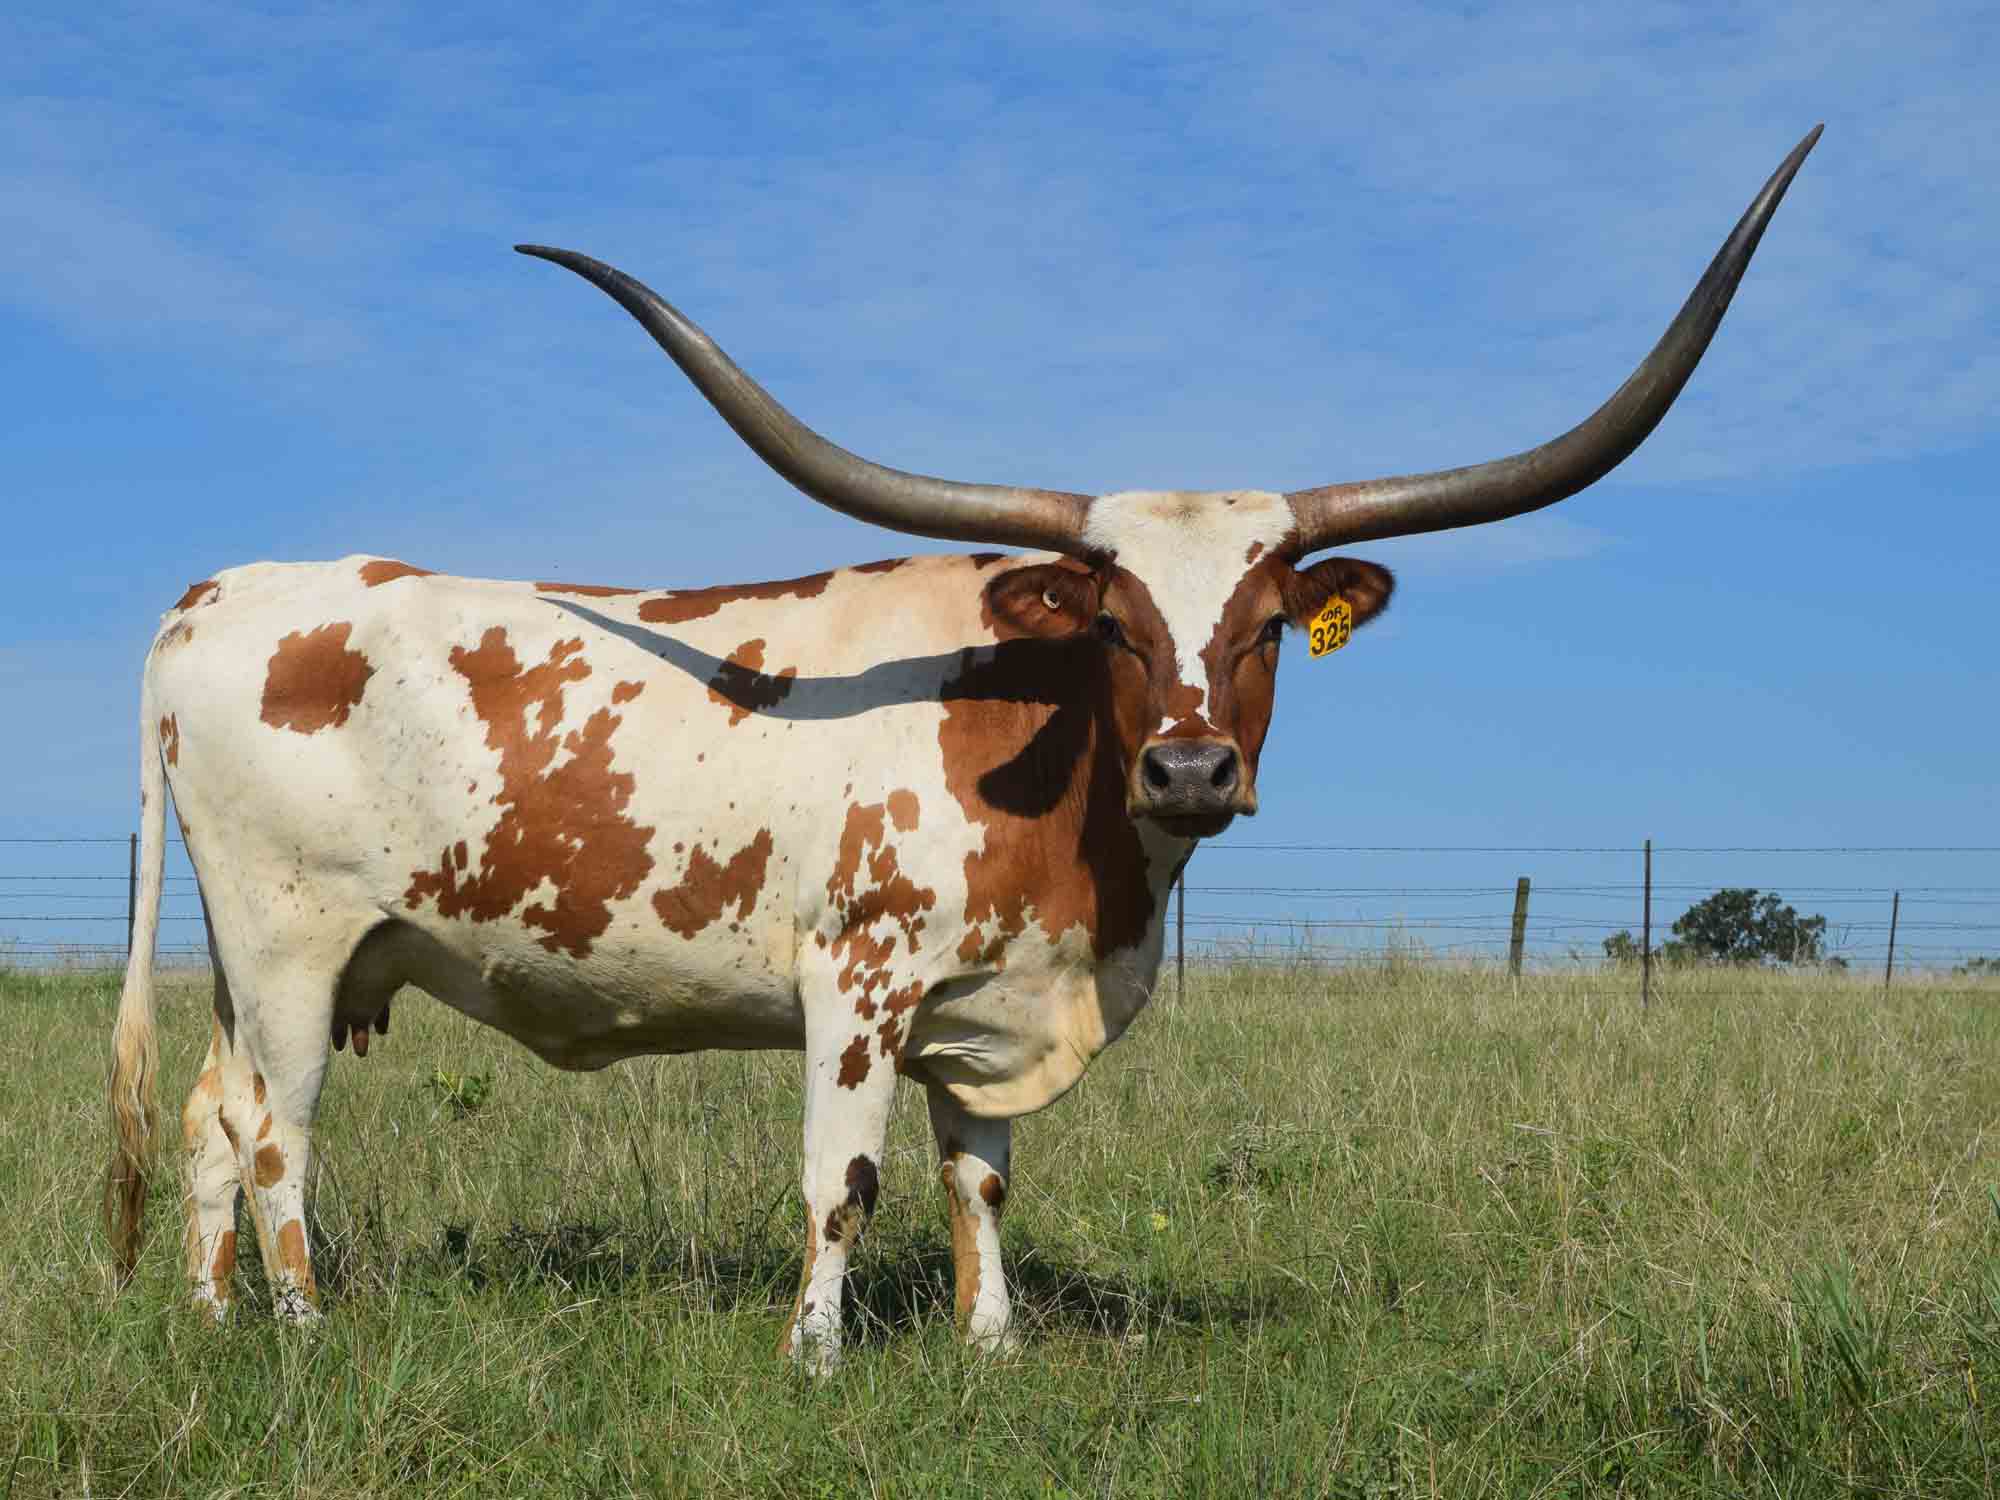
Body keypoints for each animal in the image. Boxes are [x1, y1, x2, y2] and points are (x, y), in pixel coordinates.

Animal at [117, 132, 1824, 1376]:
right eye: (1116, 621)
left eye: (1269, 624)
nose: (1191, 772)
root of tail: (223, 591)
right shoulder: (854, 983)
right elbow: (846, 1180)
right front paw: (813, 1357)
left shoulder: (988, 1007)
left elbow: (979, 1177)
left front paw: (990, 1345)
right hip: (289, 941)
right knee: (274, 1135)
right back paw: (304, 1330)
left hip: (274, 960)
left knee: (205, 1120)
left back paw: (211, 1324)